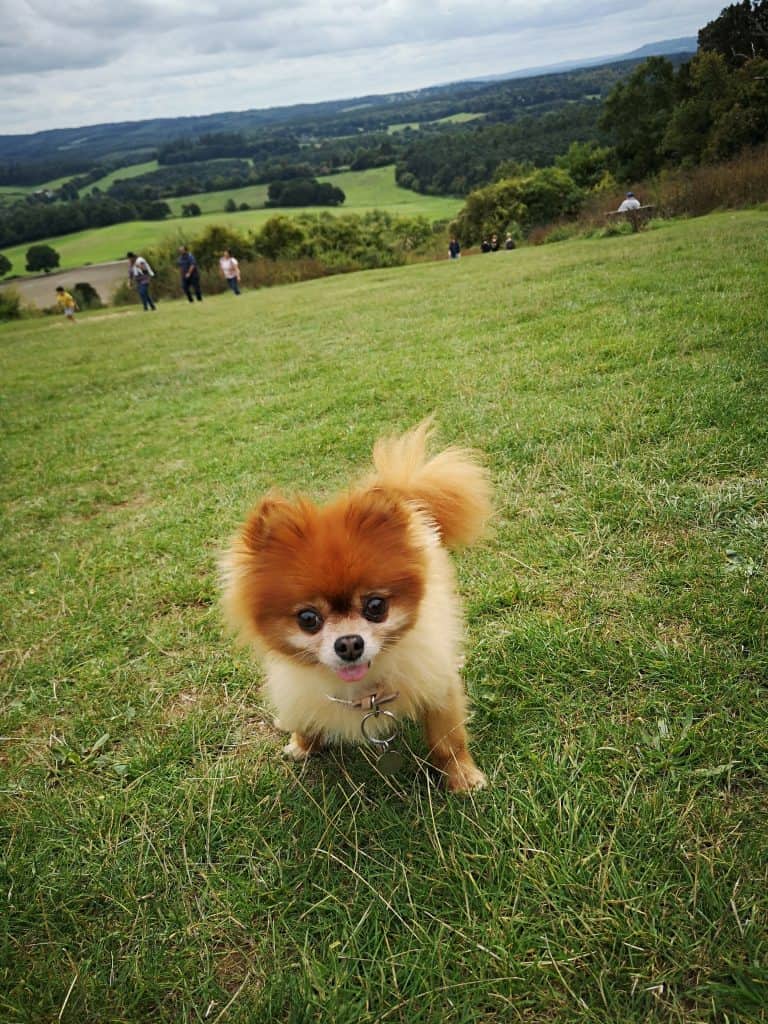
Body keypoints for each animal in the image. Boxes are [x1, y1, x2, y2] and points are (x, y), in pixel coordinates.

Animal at [221, 415, 493, 790]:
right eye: (308, 619)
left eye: (376, 607)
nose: (349, 644)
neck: (364, 690)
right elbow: (306, 717)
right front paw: (302, 743)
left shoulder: (435, 685)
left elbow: (446, 740)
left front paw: (461, 776)